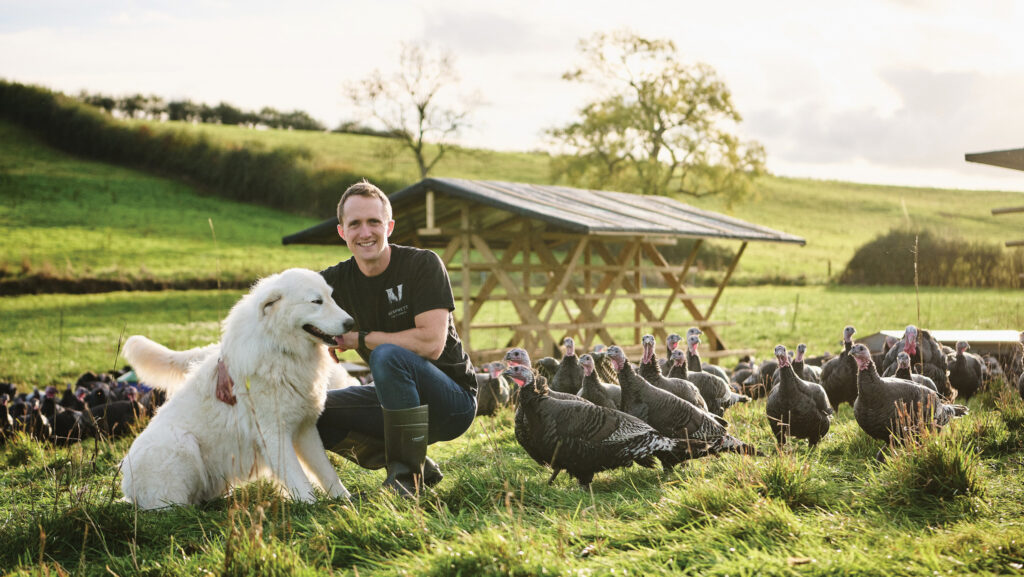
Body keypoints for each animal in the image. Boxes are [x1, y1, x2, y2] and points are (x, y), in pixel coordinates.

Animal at [121, 268, 356, 508]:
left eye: (331, 297)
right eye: (316, 301)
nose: (351, 323)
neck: (280, 348)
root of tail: (127, 487)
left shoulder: (305, 429)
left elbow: (326, 470)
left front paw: (346, 501)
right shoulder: (273, 433)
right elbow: (298, 478)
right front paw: (310, 505)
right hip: (183, 444)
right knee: (174, 505)